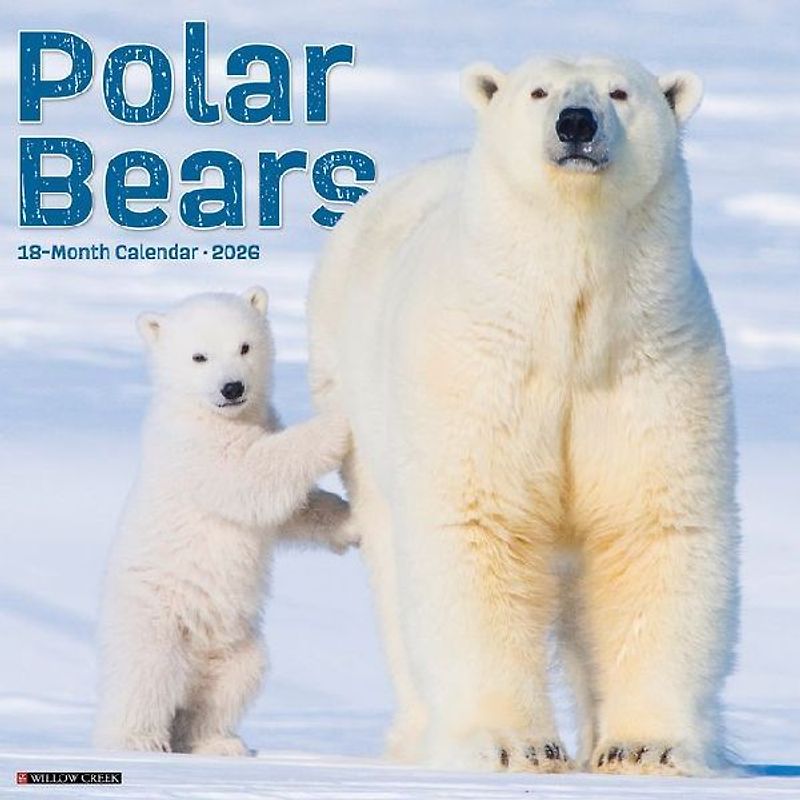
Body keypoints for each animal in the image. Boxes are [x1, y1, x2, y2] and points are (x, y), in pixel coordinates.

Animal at [94, 287, 356, 756]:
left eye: (245, 346)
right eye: (199, 356)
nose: (233, 388)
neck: (208, 412)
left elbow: (289, 511)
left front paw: (350, 522)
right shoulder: (195, 448)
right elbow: (250, 474)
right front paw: (335, 424)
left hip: (234, 641)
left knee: (234, 679)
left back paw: (217, 741)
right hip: (155, 615)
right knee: (147, 673)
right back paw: (137, 740)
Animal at [307, 57, 738, 776]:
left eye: (621, 92)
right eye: (539, 91)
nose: (576, 123)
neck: (567, 326)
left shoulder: (652, 365)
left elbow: (650, 529)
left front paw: (644, 747)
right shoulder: (479, 369)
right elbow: (478, 526)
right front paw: (516, 746)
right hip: (355, 406)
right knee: (395, 575)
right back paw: (417, 736)